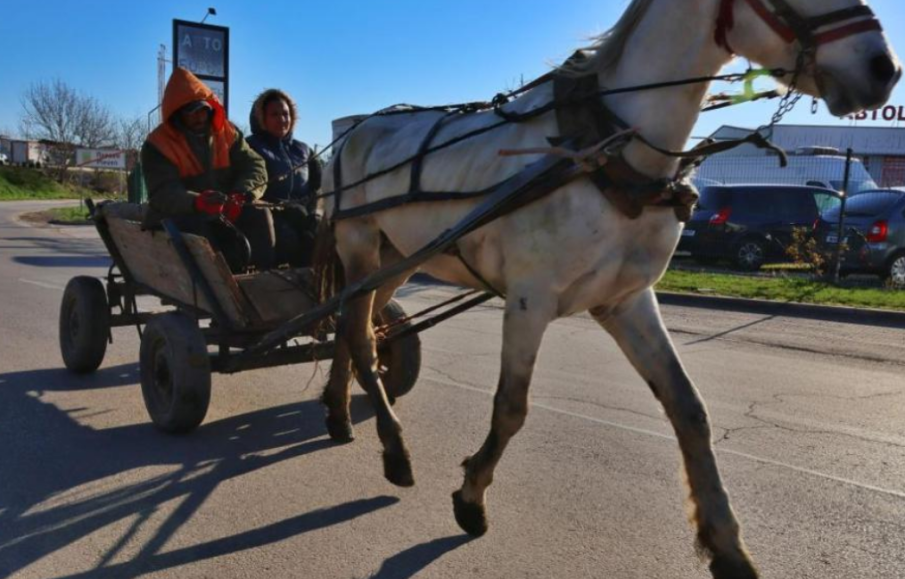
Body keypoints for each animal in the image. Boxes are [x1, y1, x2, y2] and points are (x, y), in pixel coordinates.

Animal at [314, 2, 892, 576]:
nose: (882, 70)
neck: (608, 151)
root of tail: (353, 132)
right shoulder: (529, 299)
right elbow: (511, 407)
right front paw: (471, 498)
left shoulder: (627, 301)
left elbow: (689, 410)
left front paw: (726, 544)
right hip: (360, 244)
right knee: (359, 334)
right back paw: (393, 448)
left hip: (396, 257)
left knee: (350, 326)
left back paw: (339, 415)